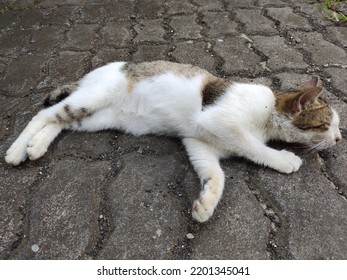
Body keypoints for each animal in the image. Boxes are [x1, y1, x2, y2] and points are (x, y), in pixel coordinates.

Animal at [4, 61, 342, 223]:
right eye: (327, 125)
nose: (339, 138)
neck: (269, 110)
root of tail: (92, 74)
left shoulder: (198, 140)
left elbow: (216, 174)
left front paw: (206, 203)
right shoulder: (218, 121)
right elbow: (253, 146)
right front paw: (284, 158)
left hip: (96, 117)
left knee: (59, 122)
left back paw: (37, 146)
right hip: (93, 98)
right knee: (44, 114)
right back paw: (17, 149)